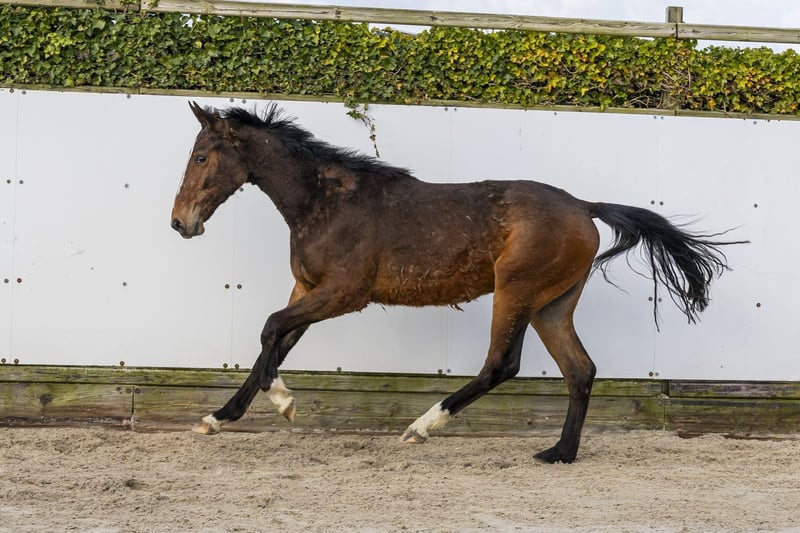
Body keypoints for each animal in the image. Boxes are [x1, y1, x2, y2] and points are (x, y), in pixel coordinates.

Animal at [171, 101, 743, 463]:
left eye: (201, 156)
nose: (180, 223)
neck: (325, 203)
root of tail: (584, 206)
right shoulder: (307, 290)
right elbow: (273, 342)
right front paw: (218, 417)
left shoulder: (343, 294)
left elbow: (270, 329)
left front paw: (284, 404)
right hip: (552, 304)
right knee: (580, 370)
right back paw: (559, 453)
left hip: (516, 291)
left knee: (502, 365)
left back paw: (423, 427)